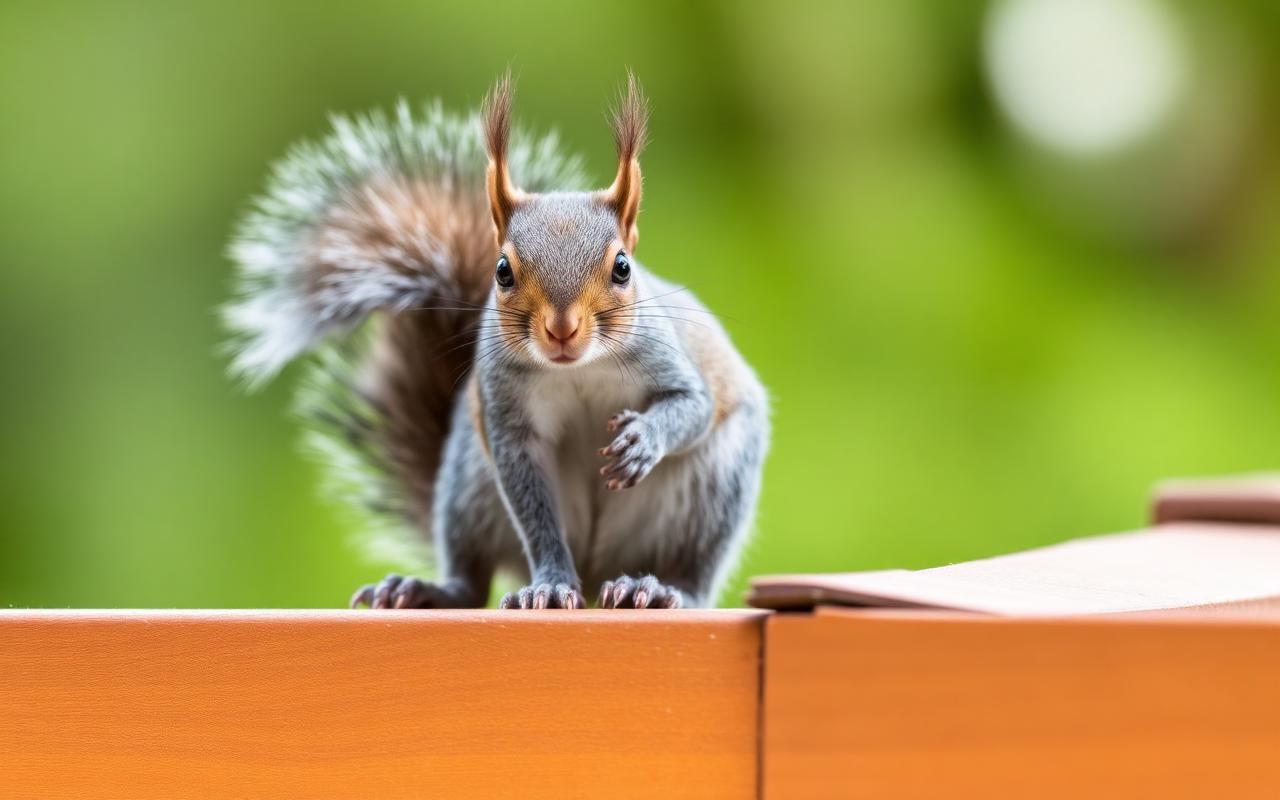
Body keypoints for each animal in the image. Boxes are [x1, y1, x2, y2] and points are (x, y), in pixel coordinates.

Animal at [224, 73, 769, 609]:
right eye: (502, 270)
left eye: (623, 267)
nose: (562, 329)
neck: (579, 369)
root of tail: (596, 575)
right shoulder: (507, 416)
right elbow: (534, 509)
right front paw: (551, 585)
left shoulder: (664, 355)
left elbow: (693, 405)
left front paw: (642, 440)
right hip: (469, 488)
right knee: (472, 580)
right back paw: (425, 591)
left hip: (714, 491)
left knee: (695, 574)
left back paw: (657, 589)